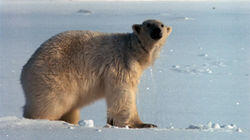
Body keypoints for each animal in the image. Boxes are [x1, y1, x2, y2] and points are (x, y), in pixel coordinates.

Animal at [21, 19, 172, 128]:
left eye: (162, 25)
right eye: (148, 24)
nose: (157, 31)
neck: (131, 49)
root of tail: (24, 71)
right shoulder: (121, 64)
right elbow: (123, 94)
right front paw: (139, 124)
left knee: (70, 109)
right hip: (53, 78)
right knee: (50, 104)